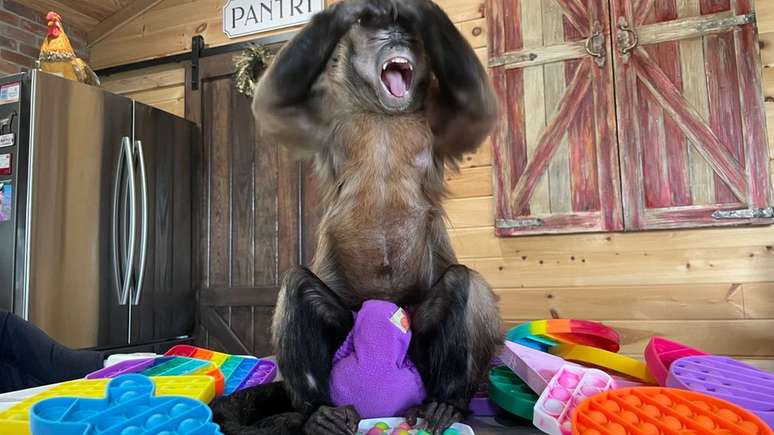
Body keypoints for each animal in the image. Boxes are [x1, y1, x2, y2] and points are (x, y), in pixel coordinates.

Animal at [212, 0, 504, 435]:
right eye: (384, 35)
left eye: (410, 38)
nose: (399, 38)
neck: (382, 111)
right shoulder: (329, 113)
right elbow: (272, 105)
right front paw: (347, 11)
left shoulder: (437, 114)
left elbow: (477, 106)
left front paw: (418, 9)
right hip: (347, 323)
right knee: (298, 286)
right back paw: (316, 410)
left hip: (416, 338)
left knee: (461, 283)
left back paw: (447, 401)